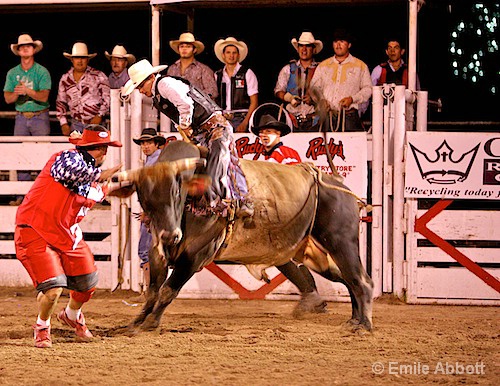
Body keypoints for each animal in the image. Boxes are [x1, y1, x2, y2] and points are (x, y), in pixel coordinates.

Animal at [110, 141, 376, 332]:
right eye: (144, 198)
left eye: (177, 192)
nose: (170, 236)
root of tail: (342, 187)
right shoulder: (158, 252)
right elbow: (153, 291)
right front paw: (135, 322)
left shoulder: (195, 256)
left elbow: (167, 290)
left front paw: (151, 322)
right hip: (315, 254)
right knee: (347, 278)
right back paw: (353, 319)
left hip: (341, 242)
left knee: (361, 280)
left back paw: (364, 325)